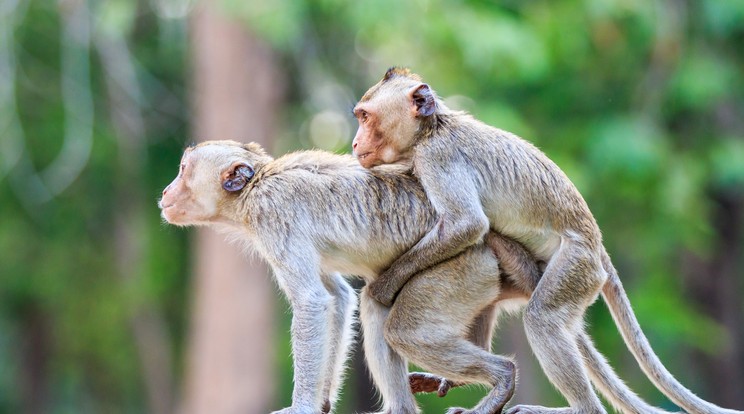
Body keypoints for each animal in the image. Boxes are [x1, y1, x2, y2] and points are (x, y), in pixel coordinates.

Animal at [158, 142, 668, 414]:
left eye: (183, 170)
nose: (165, 191)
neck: (256, 187)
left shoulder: (274, 217)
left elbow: (312, 303)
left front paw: (302, 406)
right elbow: (336, 299)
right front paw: (319, 405)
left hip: (465, 270)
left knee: (401, 325)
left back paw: (502, 380)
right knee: (374, 307)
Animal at [350, 68, 744, 414]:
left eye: (365, 117)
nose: (355, 142)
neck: (431, 131)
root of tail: (596, 243)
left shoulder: (437, 158)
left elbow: (466, 225)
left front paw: (383, 286)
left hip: (577, 266)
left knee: (542, 317)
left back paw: (576, 406)